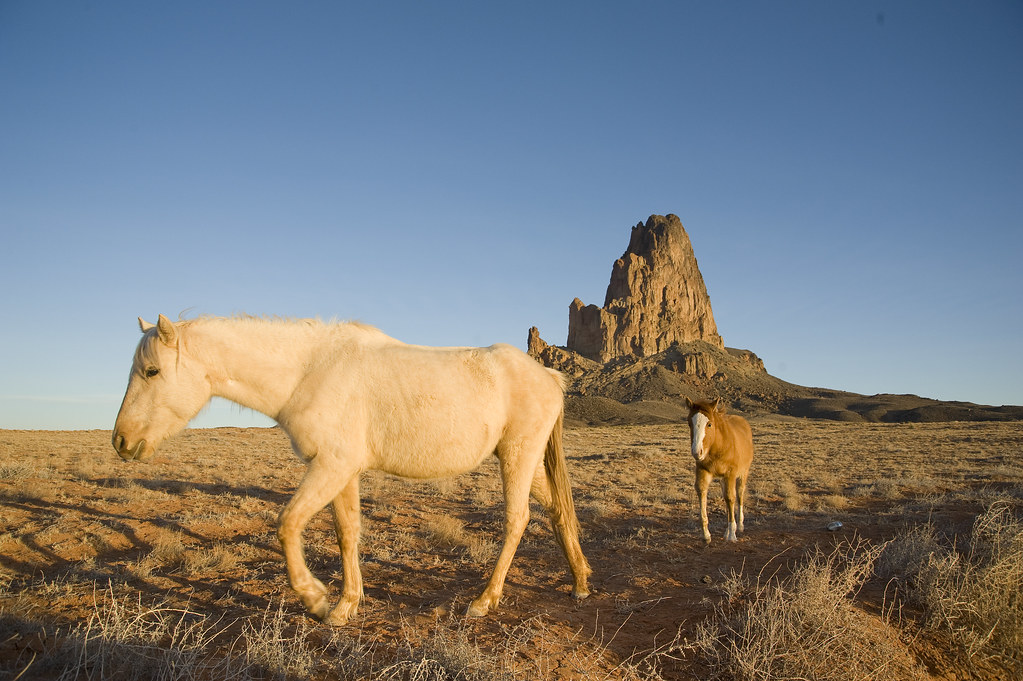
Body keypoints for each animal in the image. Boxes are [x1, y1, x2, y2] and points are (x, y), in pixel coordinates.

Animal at [112, 314, 591, 625]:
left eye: (152, 371)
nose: (121, 441)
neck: (308, 372)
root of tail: (549, 375)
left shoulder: (330, 466)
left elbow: (287, 524)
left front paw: (316, 600)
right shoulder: (342, 472)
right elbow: (347, 533)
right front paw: (346, 605)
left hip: (517, 457)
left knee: (517, 520)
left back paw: (484, 600)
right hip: (523, 460)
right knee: (556, 510)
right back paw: (581, 581)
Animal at [684, 397, 754, 543]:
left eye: (709, 424)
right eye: (689, 423)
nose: (697, 452)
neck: (717, 447)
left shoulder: (730, 474)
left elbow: (730, 498)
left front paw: (732, 534)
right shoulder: (703, 471)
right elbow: (702, 493)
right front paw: (706, 534)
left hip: (743, 473)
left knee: (739, 494)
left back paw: (740, 525)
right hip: (723, 479)